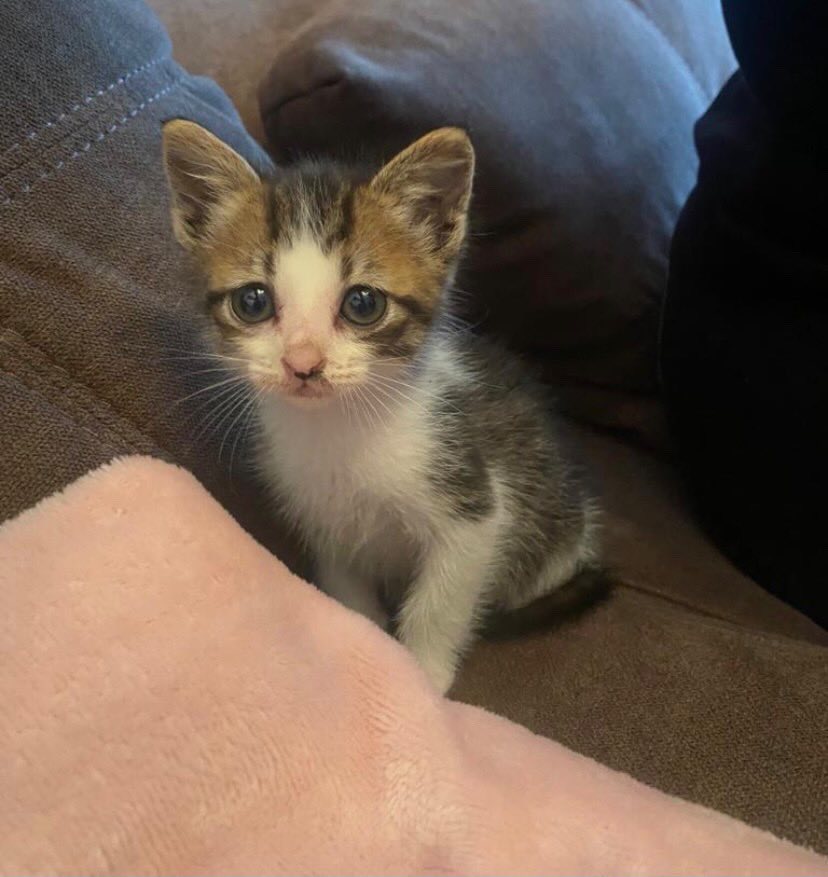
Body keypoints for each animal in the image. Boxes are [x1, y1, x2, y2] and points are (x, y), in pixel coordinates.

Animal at [162, 120, 602, 693]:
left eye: (363, 303)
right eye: (252, 301)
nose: (303, 364)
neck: (340, 430)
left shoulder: (473, 504)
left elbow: (441, 602)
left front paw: (422, 678)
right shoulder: (323, 517)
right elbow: (346, 584)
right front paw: (369, 645)